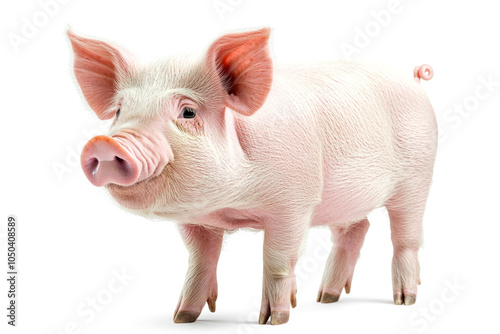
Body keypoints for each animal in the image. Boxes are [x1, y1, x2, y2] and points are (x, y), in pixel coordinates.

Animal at [67, 27, 438, 324]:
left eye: (187, 112)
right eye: (119, 111)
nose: (105, 143)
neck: (230, 205)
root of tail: (414, 80)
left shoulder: (294, 203)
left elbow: (276, 260)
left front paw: (273, 320)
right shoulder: (194, 219)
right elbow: (199, 260)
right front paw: (183, 317)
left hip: (418, 176)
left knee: (405, 237)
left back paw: (405, 300)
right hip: (345, 198)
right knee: (356, 229)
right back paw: (326, 298)